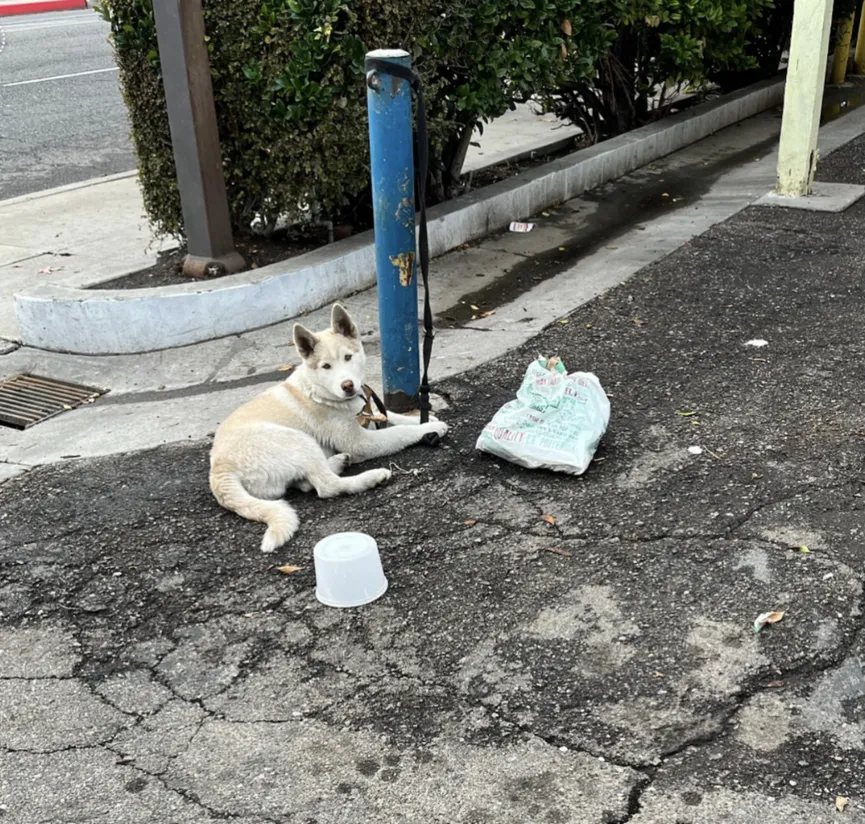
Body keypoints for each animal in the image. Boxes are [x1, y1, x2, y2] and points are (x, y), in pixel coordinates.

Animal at [209, 304, 448, 552]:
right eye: (326, 366)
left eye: (348, 357)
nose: (348, 386)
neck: (318, 390)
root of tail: (220, 470)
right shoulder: (361, 443)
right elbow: (397, 432)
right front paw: (430, 428)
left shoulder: (365, 411)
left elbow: (389, 415)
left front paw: (423, 419)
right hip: (298, 440)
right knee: (326, 486)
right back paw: (370, 477)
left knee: (308, 483)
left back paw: (339, 461)